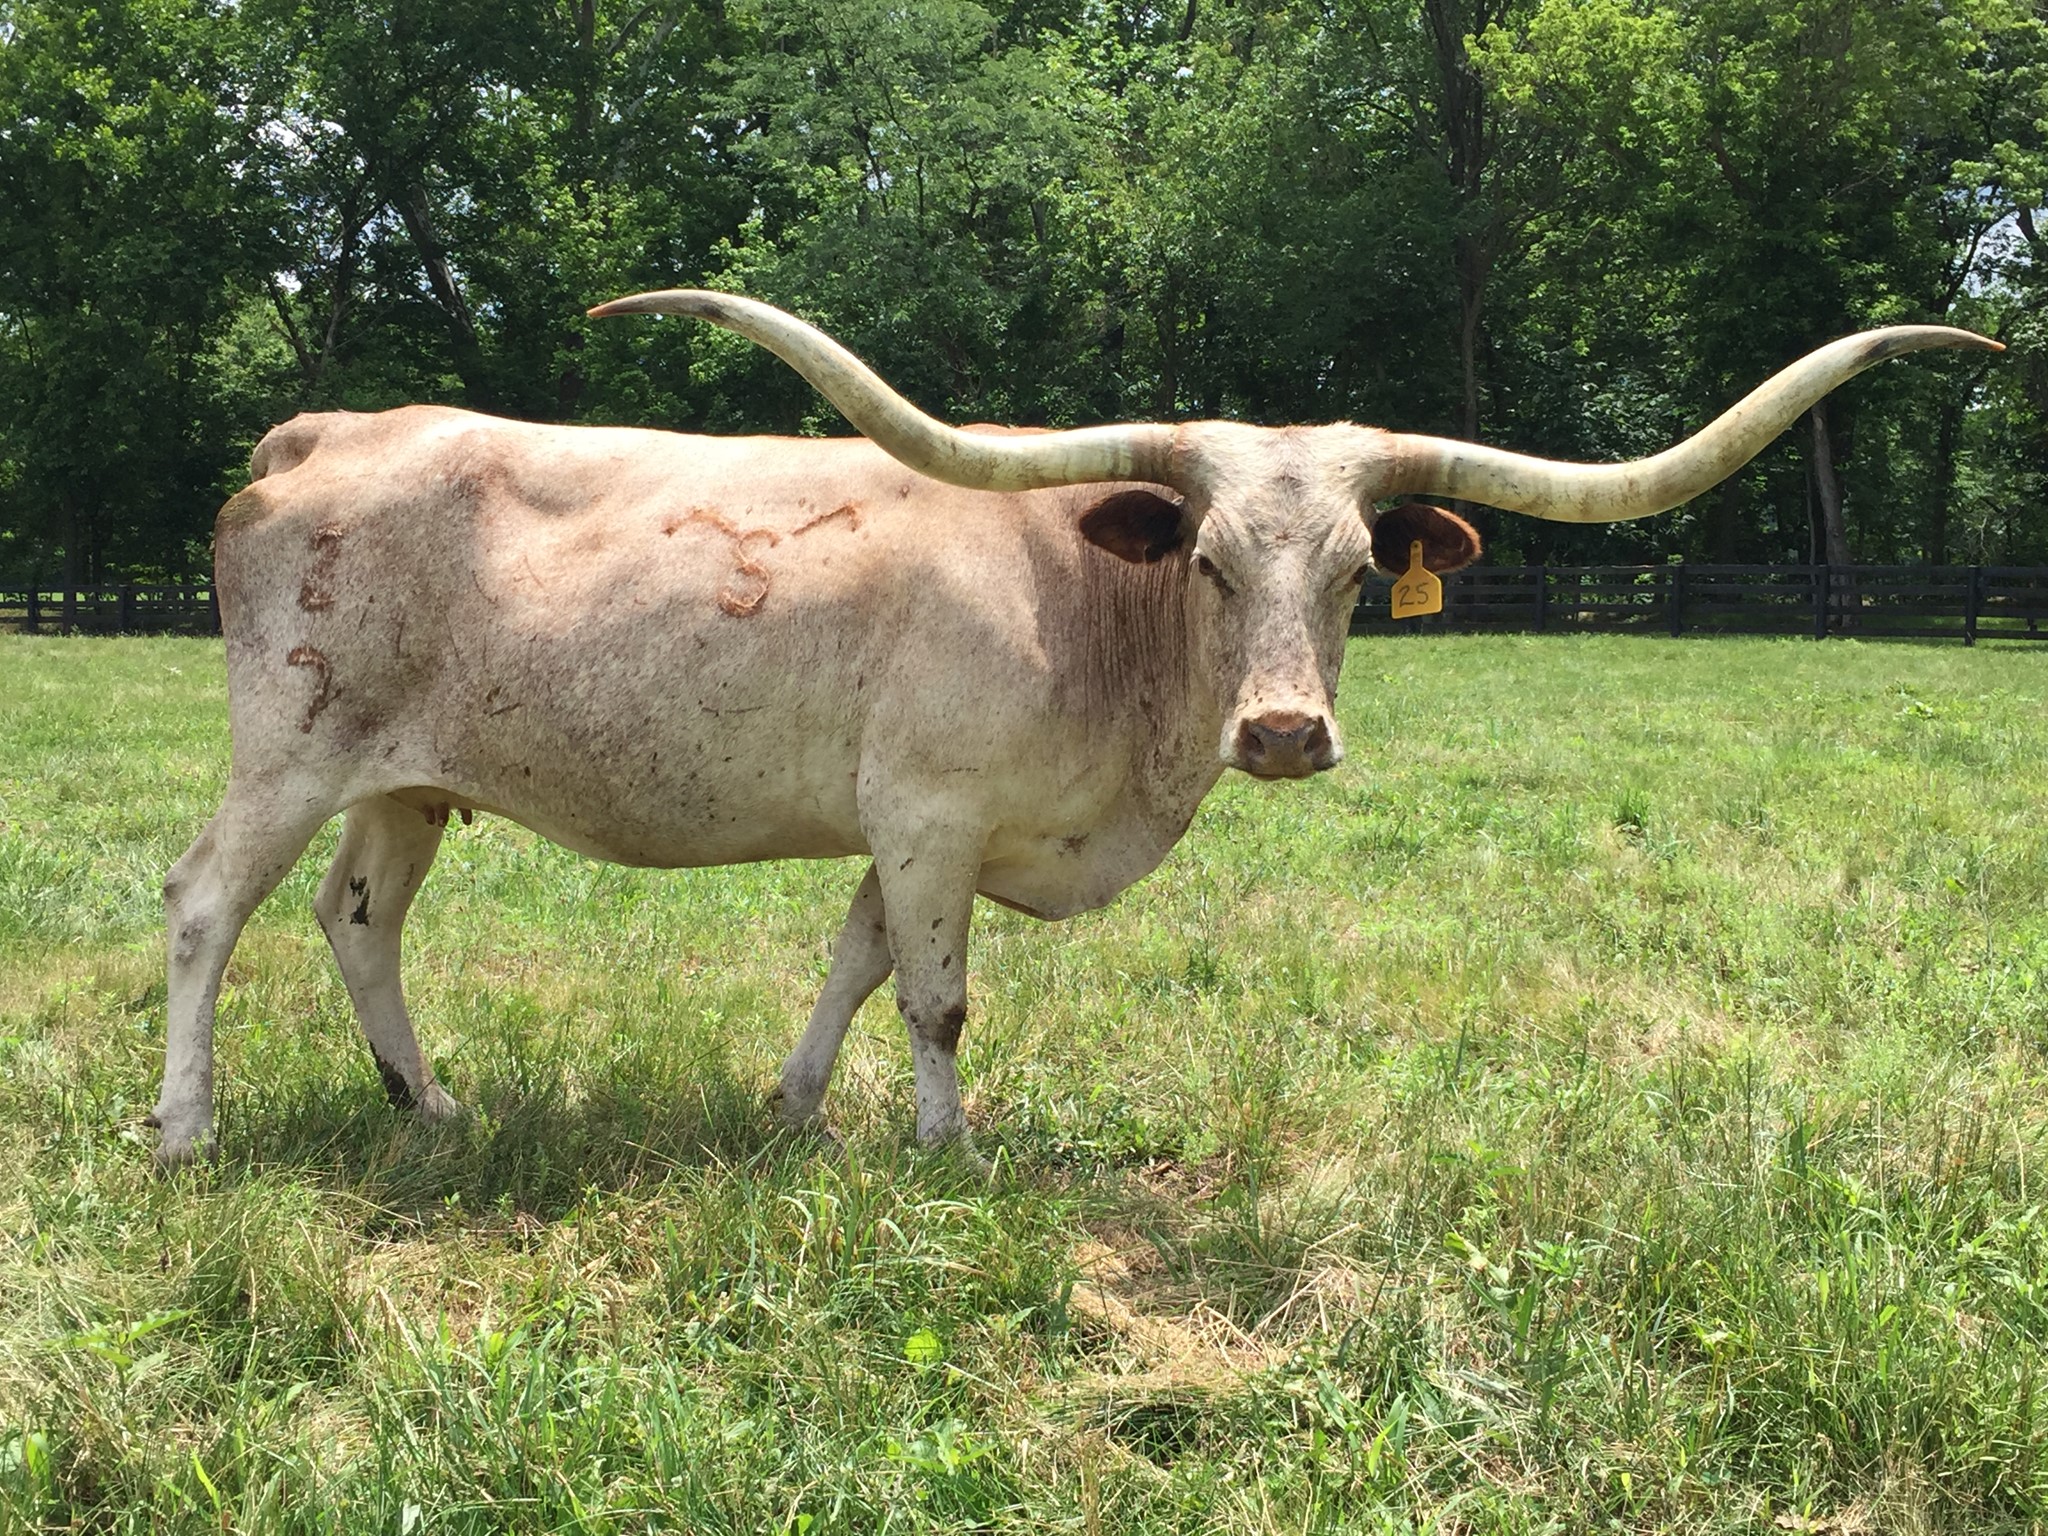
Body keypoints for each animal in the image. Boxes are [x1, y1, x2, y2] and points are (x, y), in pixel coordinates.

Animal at [148, 291, 1998, 1164]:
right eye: (1207, 556)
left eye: (1352, 572)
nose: (1282, 734)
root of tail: (327, 431)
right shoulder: (931, 812)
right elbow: (937, 996)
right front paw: (940, 1146)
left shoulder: (912, 830)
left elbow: (855, 964)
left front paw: (796, 1108)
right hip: (288, 749)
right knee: (205, 907)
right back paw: (186, 1128)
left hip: (409, 779)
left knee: (359, 921)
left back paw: (431, 1107)